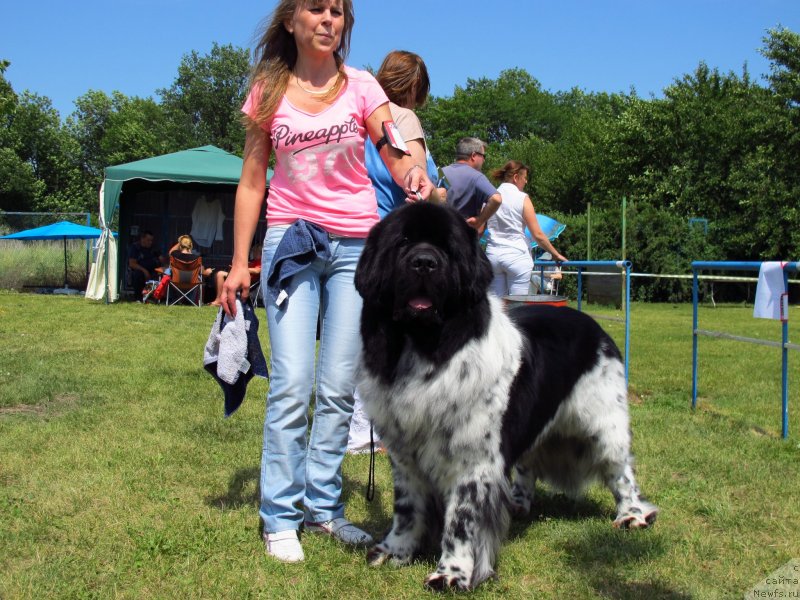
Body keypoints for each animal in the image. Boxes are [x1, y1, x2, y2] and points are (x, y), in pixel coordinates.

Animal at [354, 202, 656, 592]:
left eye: (447, 248)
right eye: (403, 242)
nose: (424, 262)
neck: (424, 349)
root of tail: (591, 324)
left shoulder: (473, 458)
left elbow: (462, 518)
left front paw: (452, 573)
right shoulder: (404, 453)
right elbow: (406, 508)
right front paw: (395, 551)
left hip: (604, 424)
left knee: (621, 470)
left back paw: (632, 515)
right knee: (528, 464)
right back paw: (517, 502)